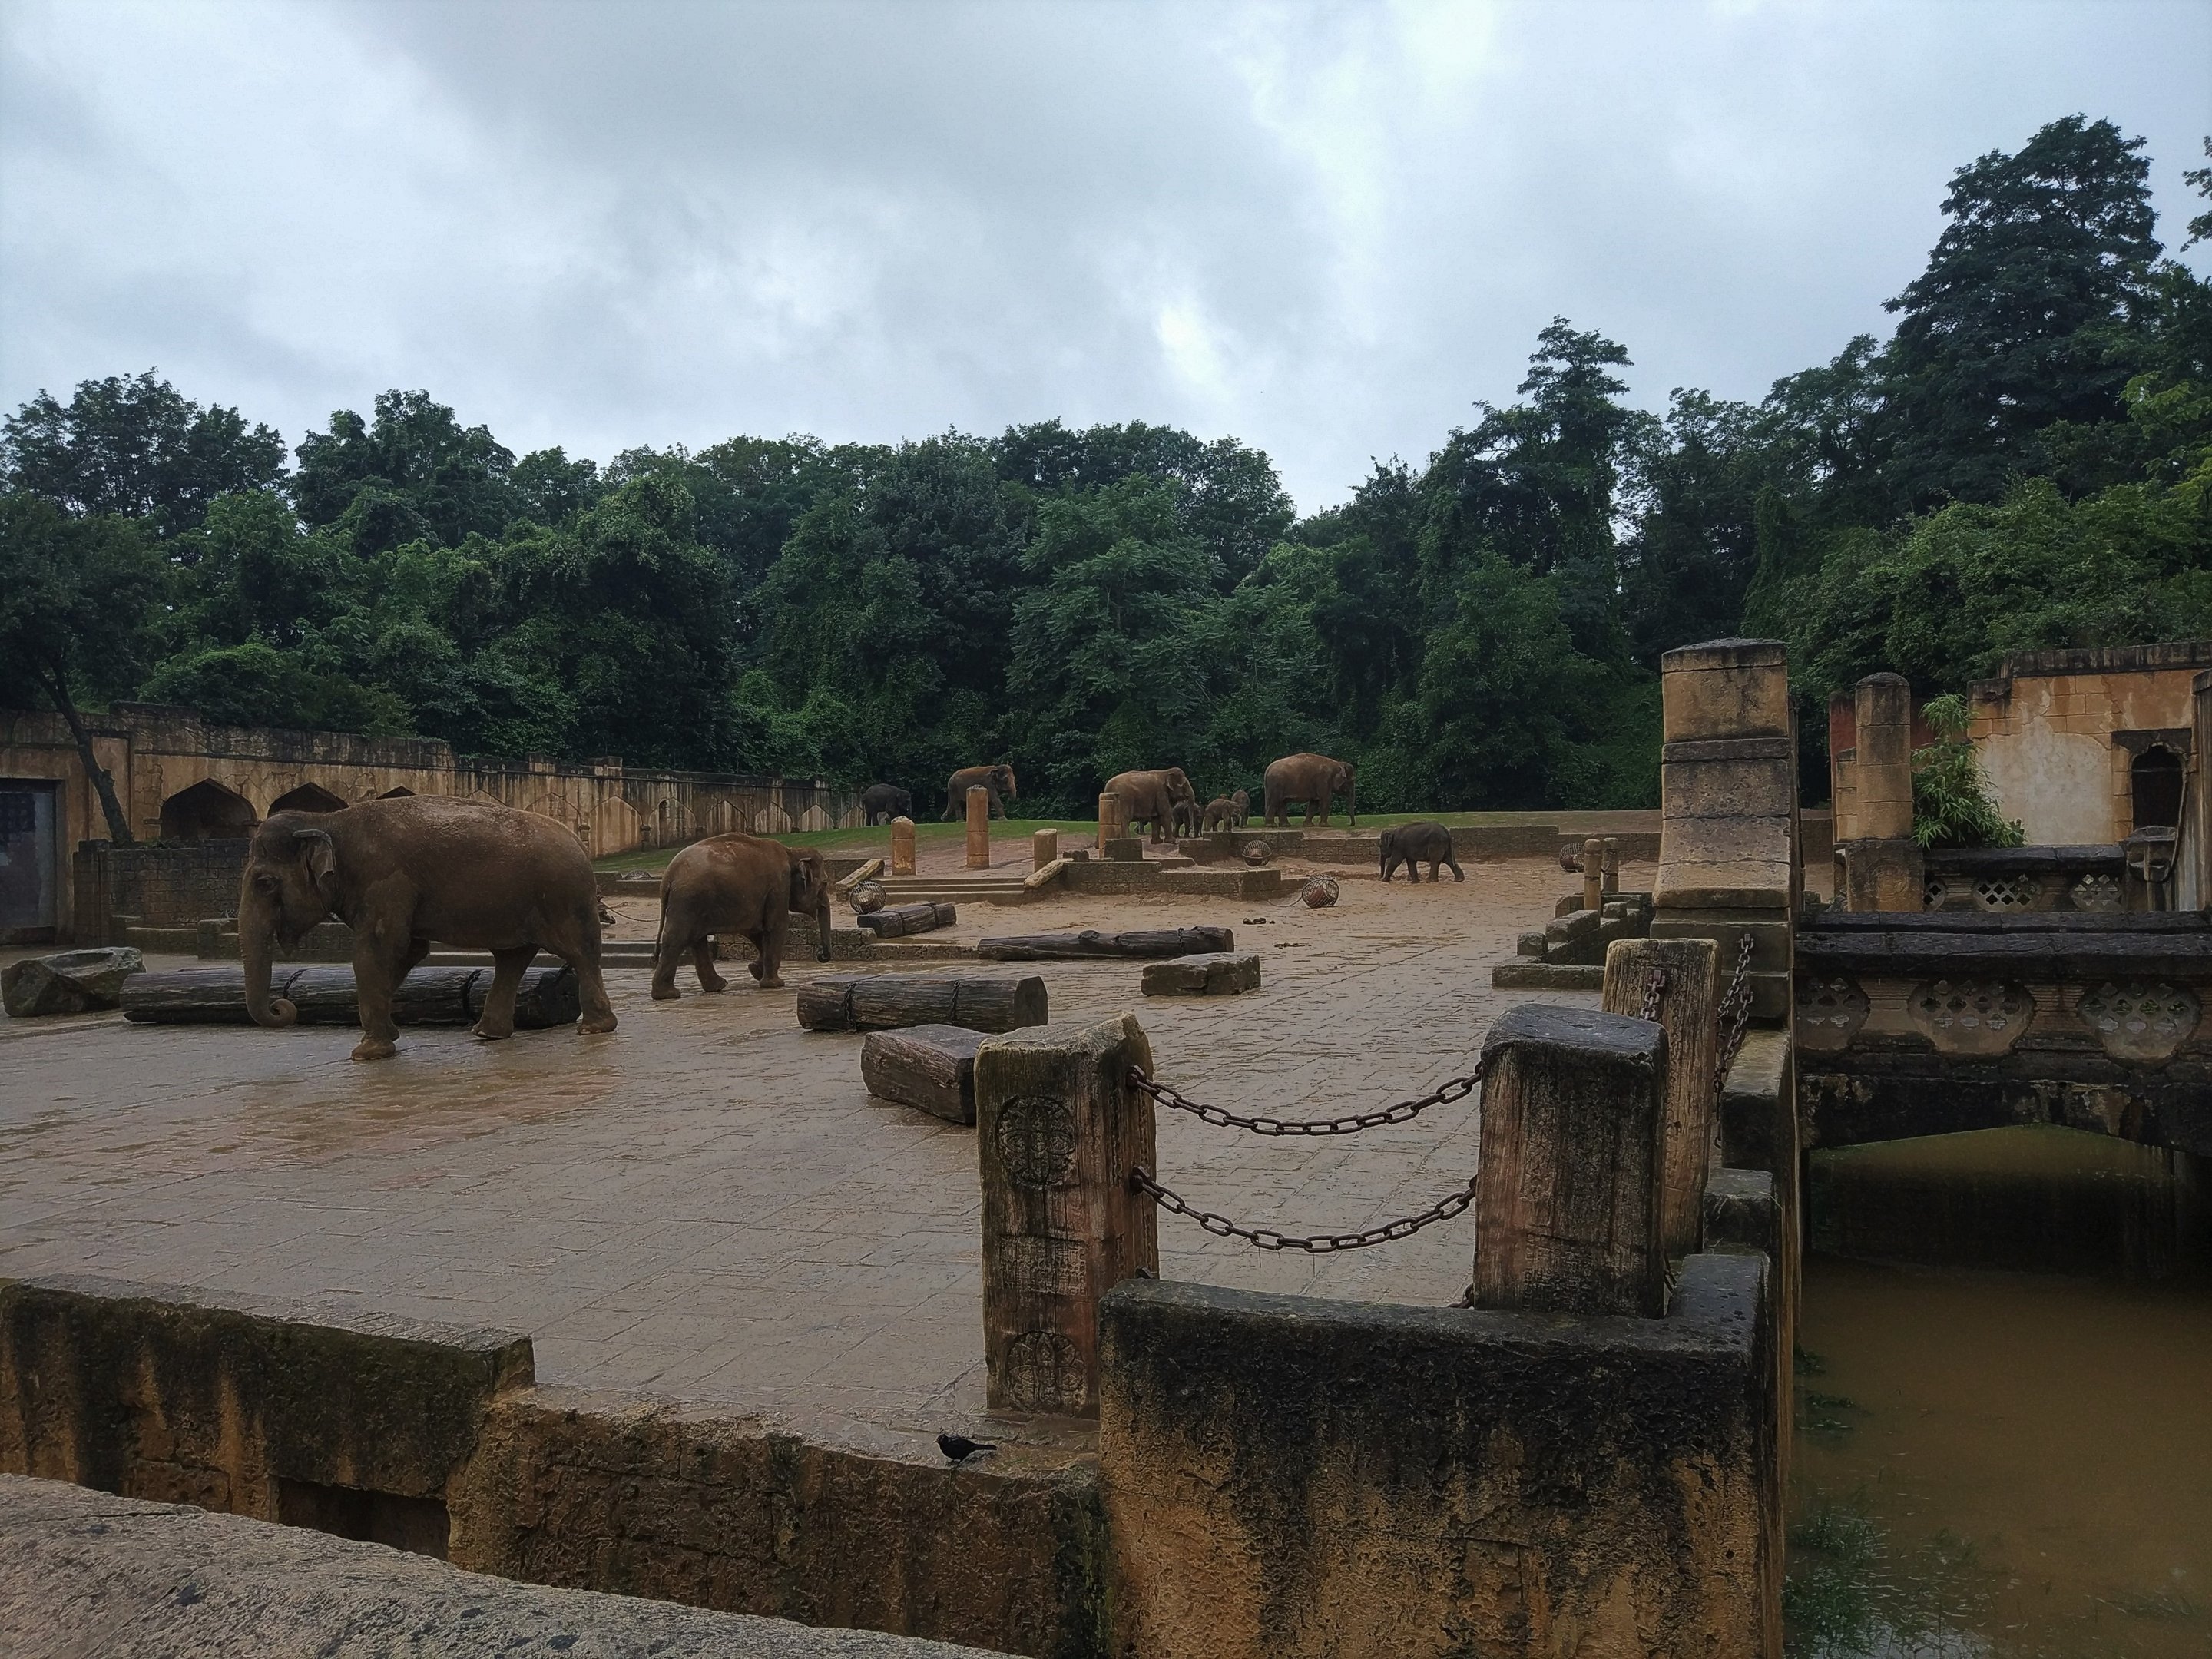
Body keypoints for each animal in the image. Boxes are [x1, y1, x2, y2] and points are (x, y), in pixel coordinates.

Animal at [237, 795, 616, 1063]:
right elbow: (407, 952)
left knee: (579, 952)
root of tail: (578, 843)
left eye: (265, 884)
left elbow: (376, 950)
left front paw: (367, 1054)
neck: (327, 821)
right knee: (512, 957)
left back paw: (593, 1030)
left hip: (562, 896)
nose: (282, 1006)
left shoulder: (385, 881)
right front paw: (388, 1036)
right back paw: (487, 1035)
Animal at [652, 832, 833, 997]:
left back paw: (716, 987)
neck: (792, 852)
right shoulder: (779, 886)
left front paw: (755, 970)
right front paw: (775, 984)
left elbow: (756, 931)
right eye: (825, 883)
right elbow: (776, 927)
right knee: (678, 939)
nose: (820, 955)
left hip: (692, 903)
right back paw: (669, 994)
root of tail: (668, 877)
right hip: (688, 900)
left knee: (696, 940)